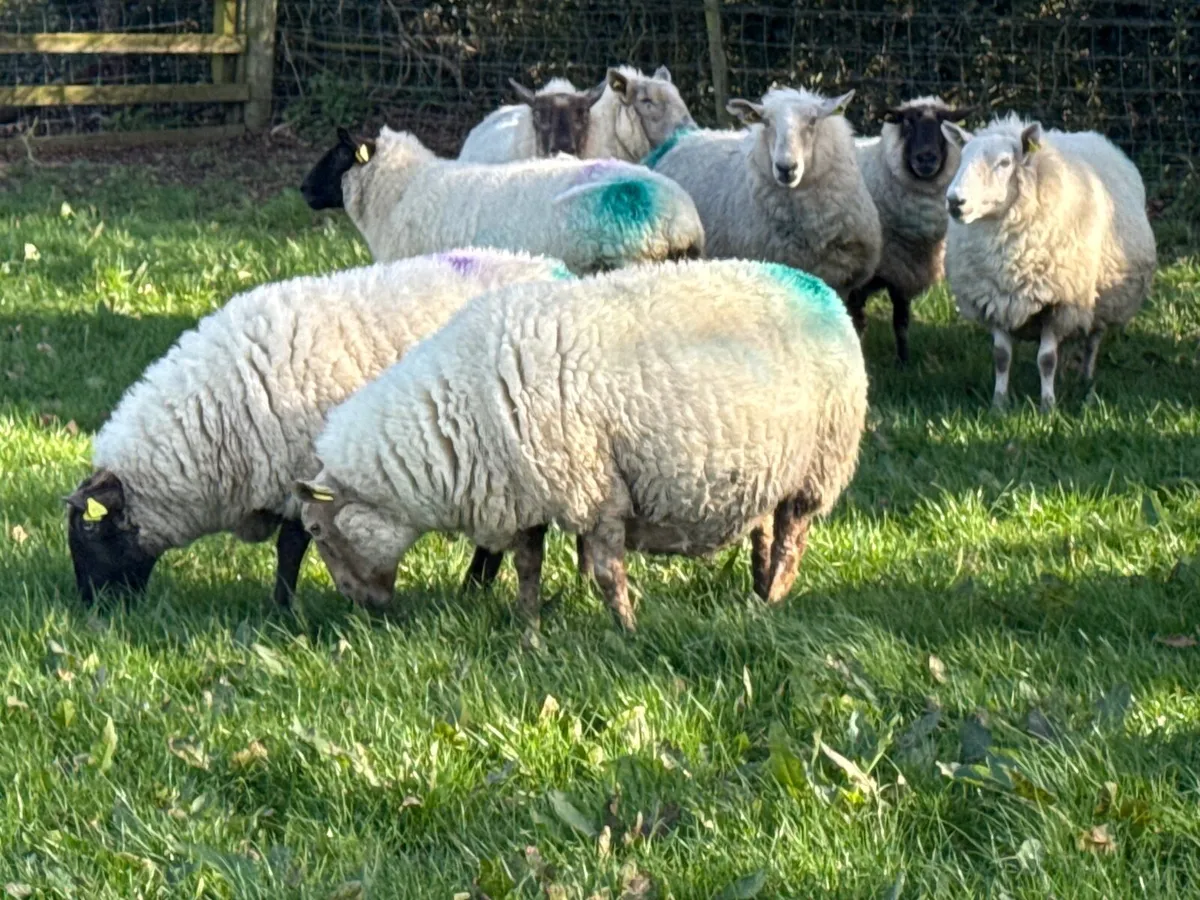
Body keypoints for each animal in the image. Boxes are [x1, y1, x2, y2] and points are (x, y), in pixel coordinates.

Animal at [63, 249, 571, 607]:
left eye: (91, 534)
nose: (93, 611)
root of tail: (551, 267)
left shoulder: (305, 469)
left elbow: (290, 547)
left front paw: (283, 611)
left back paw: (474, 589)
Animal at [295, 258, 868, 633]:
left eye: (317, 531)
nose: (359, 604)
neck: (455, 415)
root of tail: (820, 289)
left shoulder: (595, 490)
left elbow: (607, 573)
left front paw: (627, 632)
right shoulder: (526, 492)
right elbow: (528, 567)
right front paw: (527, 632)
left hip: (818, 467)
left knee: (791, 542)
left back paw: (769, 603)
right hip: (770, 471)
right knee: (764, 533)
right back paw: (756, 588)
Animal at [848, 97, 974, 364]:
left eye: (943, 122)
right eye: (907, 122)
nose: (926, 158)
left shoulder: (902, 270)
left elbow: (901, 322)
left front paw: (904, 362)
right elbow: (857, 323)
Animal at [941, 113, 1157, 410]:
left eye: (1005, 162)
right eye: (962, 157)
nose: (954, 201)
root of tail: (1095, 137)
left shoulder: (1059, 302)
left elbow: (1046, 359)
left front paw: (1047, 406)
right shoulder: (994, 300)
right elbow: (1001, 356)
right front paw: (999, 403)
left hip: (1100, 299)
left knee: (1092, 340)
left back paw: (1085, 377)